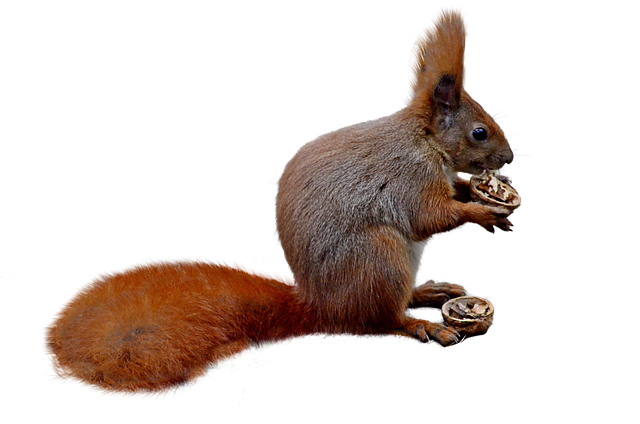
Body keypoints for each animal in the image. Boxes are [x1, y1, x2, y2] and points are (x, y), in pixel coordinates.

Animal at [41, 6, 515, 400]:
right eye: (479, 133)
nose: (510, 157)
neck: (425, 139)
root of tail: (320, 307)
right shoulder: (409, 177)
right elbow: (428, 216)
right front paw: (482, 210)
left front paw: (479, 192)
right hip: (378, 257)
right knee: (378, 322)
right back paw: (419, 324)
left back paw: (428, 291)